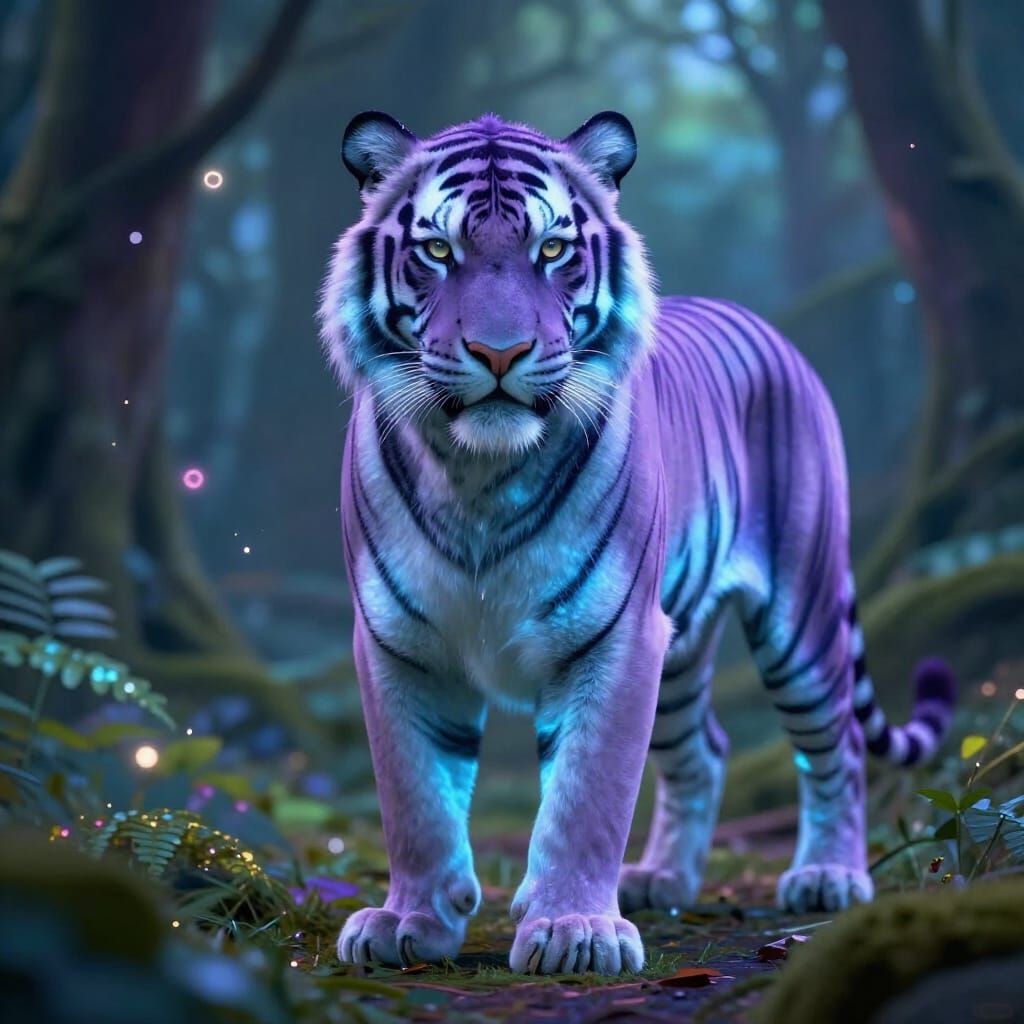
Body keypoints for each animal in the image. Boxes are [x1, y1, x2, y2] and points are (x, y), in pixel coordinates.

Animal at [318, 109, 956, 976]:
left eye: (553, 249)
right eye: (439, 251)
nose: (499, 353)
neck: (478, 476)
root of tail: (765, 326)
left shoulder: (615, 634)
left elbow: (589, 791)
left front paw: (574, 930)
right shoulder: (398, 641)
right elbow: (413, 793)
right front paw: (409, 921)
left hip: (802, 612)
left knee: (842, 744)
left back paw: (827, 876)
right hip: (685, 647)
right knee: (706, 749)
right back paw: (663, 879)